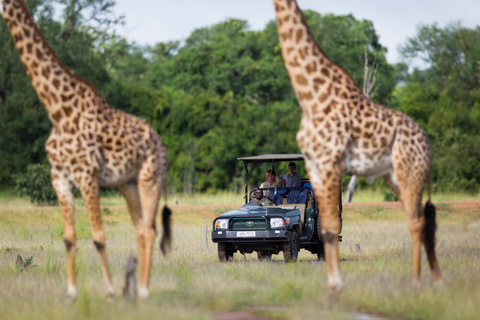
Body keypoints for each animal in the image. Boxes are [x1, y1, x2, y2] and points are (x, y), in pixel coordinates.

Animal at [0, 0, 172, 300]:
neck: (58, 111)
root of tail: (161, 144)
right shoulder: (59, 178)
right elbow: (69, 237)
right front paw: (71, 293)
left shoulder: (88, 176)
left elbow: (98, 237)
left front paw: (110, 291)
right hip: (128, 183)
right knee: (141, 229)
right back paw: (138, 289)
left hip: (150, 178)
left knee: (150, 230)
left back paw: (143, 290)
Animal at [274, 0, 442, 296]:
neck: (310, 97)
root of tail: (426, 142)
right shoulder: (315, 166)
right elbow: (327, 229)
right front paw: (332, 285)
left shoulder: (330, 162)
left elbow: (330, 228)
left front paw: (336, 286)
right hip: (395, 177)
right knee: (423, 219)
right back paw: (436, 280)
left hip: (410, 173)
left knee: (417, 221)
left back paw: (416, 281)